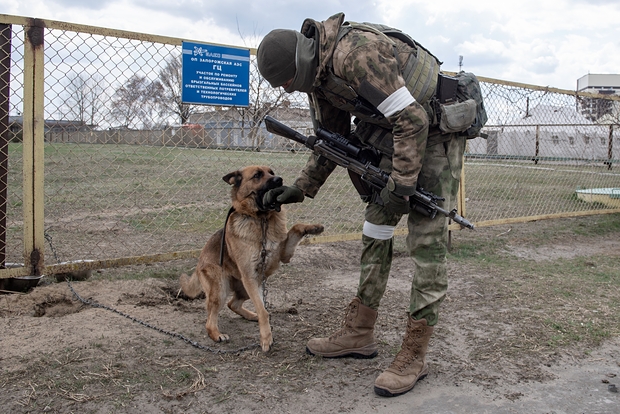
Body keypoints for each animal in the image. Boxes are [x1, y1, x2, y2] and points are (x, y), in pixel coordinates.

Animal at [179, 167, 324, 350]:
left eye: (271, 172)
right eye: (257, 175)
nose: (279, 179)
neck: (261, 220)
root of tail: (198, 265)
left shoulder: (282, 256)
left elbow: (296, 227)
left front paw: (314, 227)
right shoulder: (250, 276)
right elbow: (263, 311)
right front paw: (266, 338)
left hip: (248, 287)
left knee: (233, 304)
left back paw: (250, 315)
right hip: (223, 288)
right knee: (211, 319)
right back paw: (217, 334)